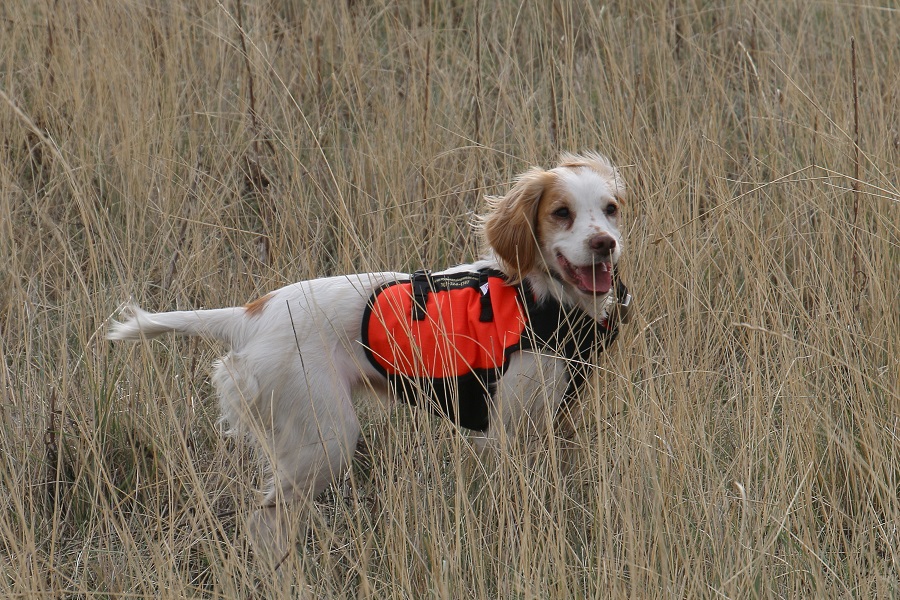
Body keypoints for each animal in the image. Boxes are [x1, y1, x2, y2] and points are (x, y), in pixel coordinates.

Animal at [109, 152, 628, 560]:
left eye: (610, 210)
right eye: (561, 212)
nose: (604, 243)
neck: (540, 300)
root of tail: (250, 315)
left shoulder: (554, 426)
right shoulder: (503, 433)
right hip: (325, 436)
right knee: (265, 521)